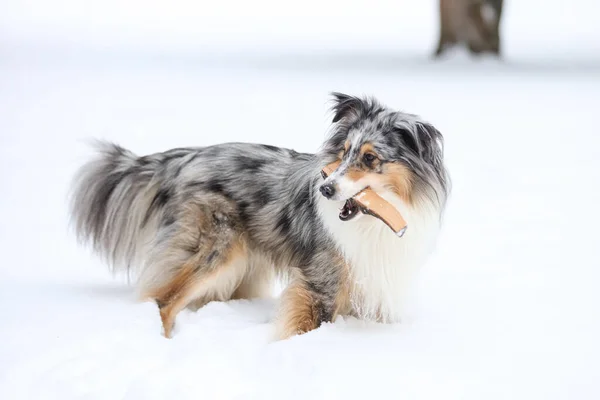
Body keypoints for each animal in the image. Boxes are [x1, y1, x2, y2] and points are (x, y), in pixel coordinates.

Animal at [69, 92, 450, 340]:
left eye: (370, 158)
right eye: (343, 153)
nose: (325, 189)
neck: (373, 221)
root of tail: (183, 158)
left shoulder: (373, 281)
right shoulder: (321, 282)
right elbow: (303, 327)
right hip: (215, 249)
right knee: (163, 301)